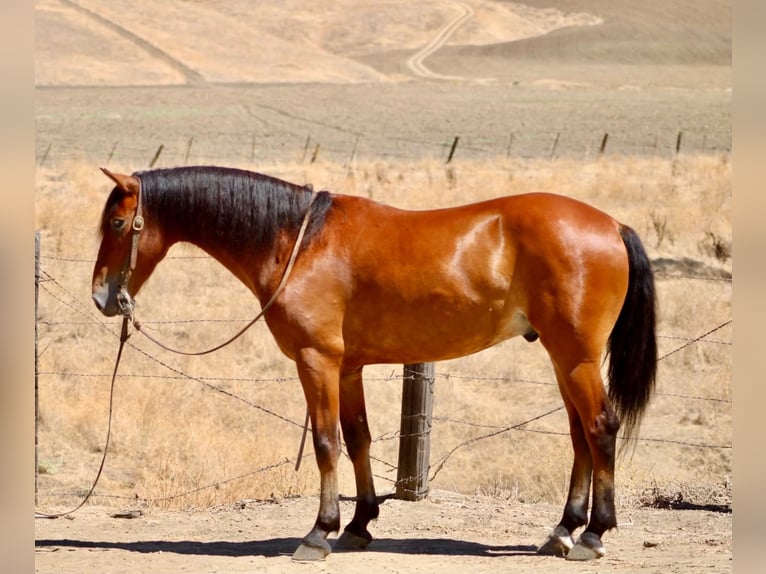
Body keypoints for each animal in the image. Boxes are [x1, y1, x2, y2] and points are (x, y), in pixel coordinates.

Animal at [92, 165, 657, 561]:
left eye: (118, 223)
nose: (101, 297)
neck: (300, 241)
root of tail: (612, 225)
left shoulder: (317, 361)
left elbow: (326, 442)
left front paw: (319, 532)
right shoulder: (347, 368)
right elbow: (358, 437)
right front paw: (359, 524)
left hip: (576, 357)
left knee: (600, 428)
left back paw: (594, 534)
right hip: (564, 359)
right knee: (580, 436)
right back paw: (563, 530)